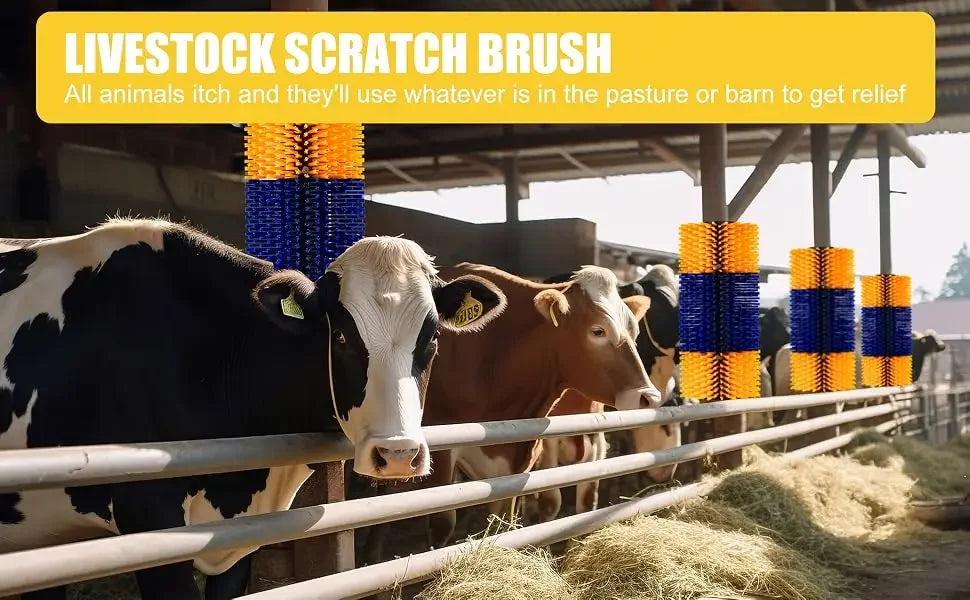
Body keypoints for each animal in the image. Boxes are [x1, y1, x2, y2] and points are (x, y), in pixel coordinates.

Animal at [360, 263, 661, 565]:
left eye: (634, 332)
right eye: (598, 331)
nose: (650, 396)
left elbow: (505, 523)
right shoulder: (443, 449)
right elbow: (443, 522)